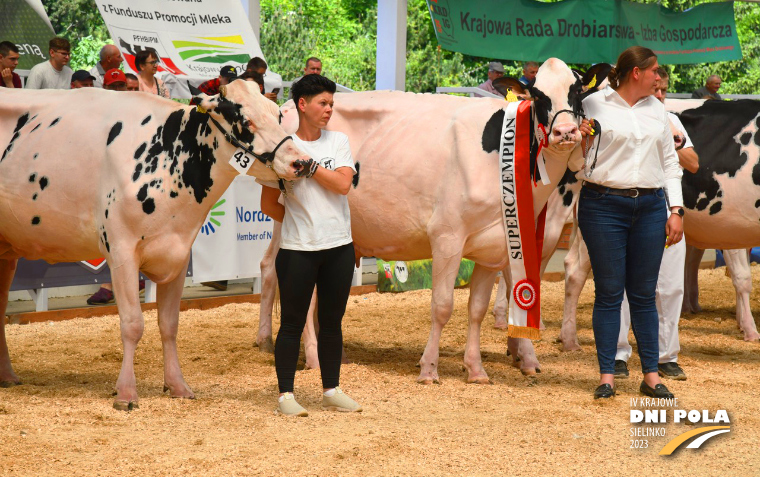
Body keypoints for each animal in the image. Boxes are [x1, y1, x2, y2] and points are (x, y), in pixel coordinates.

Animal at [1, 82, 308, 410]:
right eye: (245, 121)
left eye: (278, 114)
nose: (301, 162)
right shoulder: (121, 252)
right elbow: (133, 324)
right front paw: (126, 393)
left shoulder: (179, 253)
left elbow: (169, 324)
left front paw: (177, 385)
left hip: (6, 251)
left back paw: (7, 375)